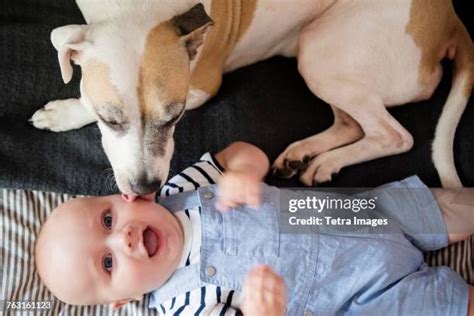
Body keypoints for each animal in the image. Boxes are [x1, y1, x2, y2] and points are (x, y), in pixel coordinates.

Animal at [31, 0, 472, 194]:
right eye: (111, 120)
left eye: (174, 117)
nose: (145, 188)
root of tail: (452, 20)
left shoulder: (202, 86)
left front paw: (64, 113)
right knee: (352, 123)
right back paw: (308, 156)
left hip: (322, 49)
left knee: (394, 135)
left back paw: (329, 161)